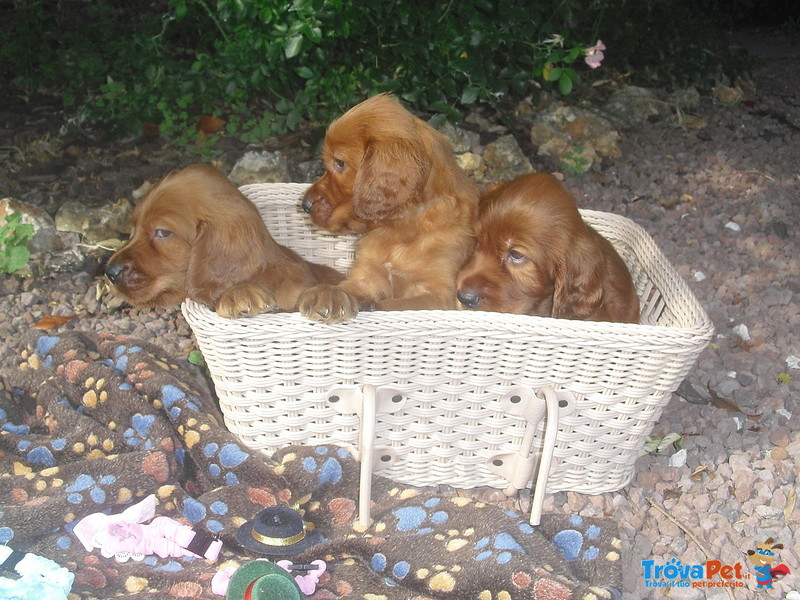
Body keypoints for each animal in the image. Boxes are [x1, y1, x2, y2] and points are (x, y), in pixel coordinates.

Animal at [296, 92, 478, 324]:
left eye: (340, 163)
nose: (305, 205)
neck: (399, 230)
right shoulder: (366, 275)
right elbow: (350, 287)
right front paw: (328, 293)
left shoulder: (438, 296)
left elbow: (395, 306)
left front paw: (370, 306)